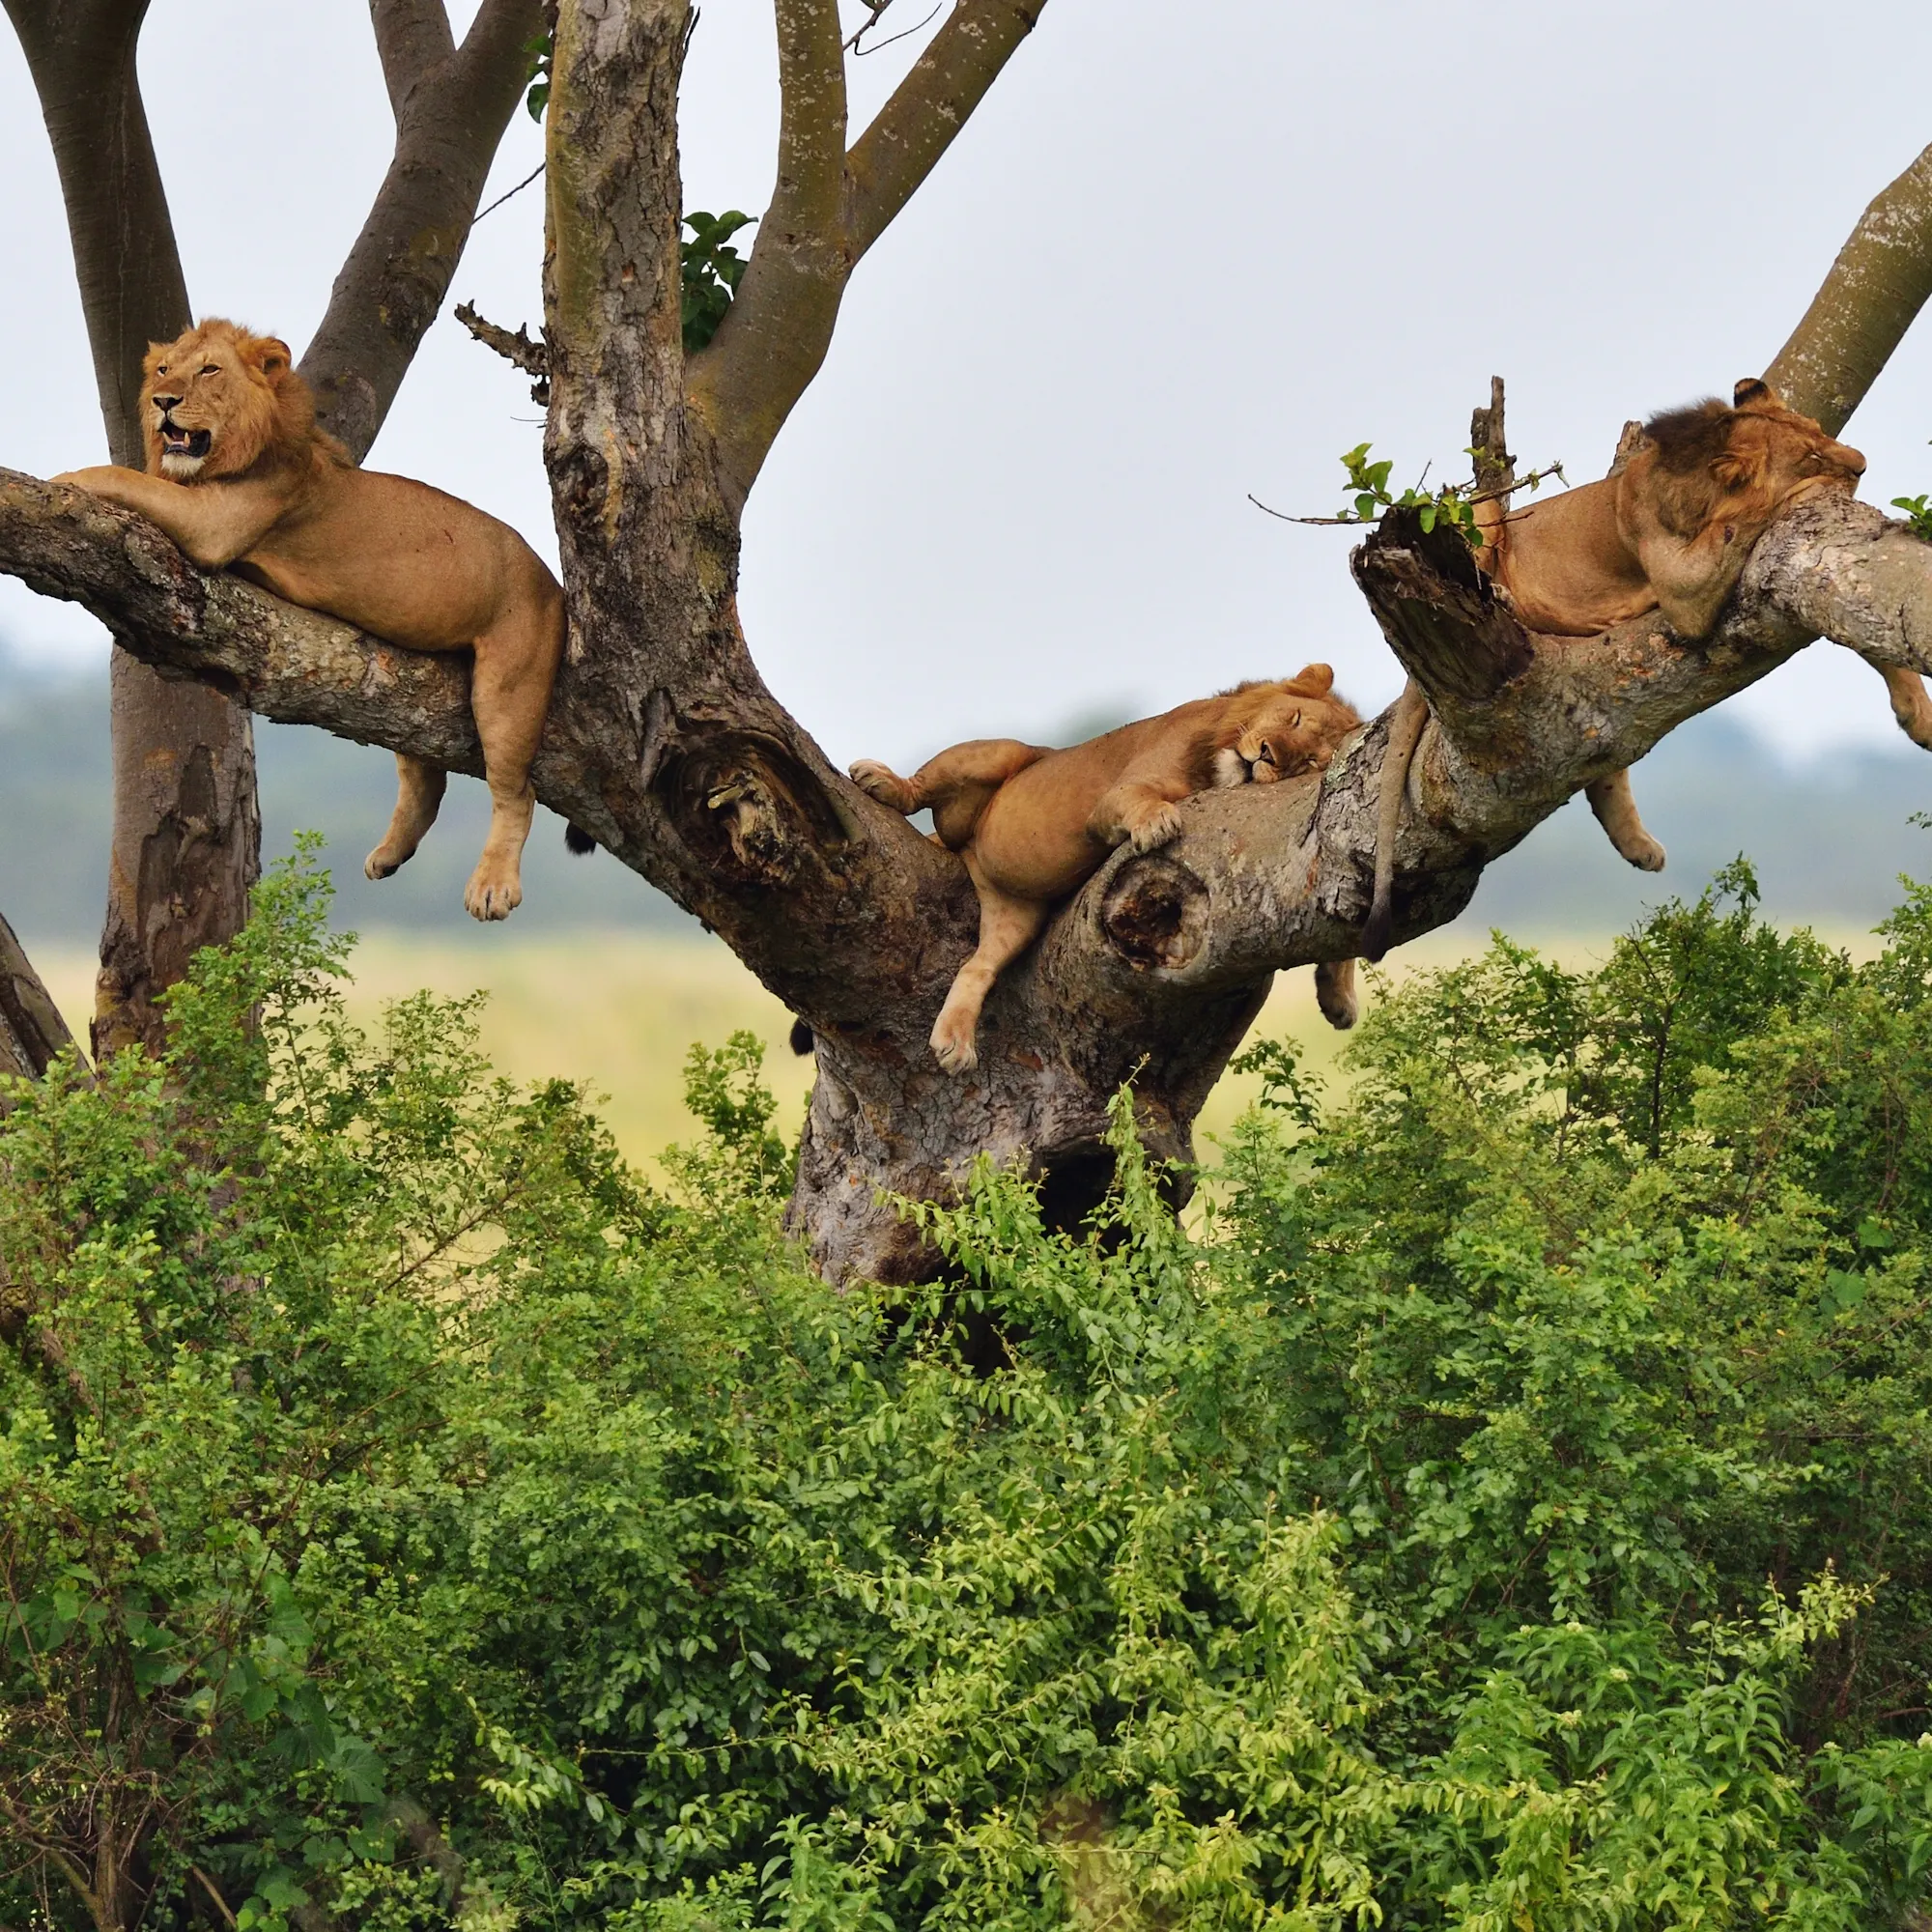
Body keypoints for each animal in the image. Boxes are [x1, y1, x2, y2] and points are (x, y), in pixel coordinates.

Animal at [52, 318, 565, 921]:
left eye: (209, 370)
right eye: (162, 370)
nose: (164, 401)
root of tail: (553, 582)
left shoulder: (214, 523)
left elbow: (127, 477)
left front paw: (63, 476)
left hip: (509, 685)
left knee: (515, 791)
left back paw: (491, 886)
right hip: (416, 682)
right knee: (425, 777)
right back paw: (389, 854)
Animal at [852, 665, 1363, 1072]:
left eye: (1311, 760)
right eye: (1294, 718)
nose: (1267, 754)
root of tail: (969, 850)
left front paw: (1339, 996)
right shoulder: (1114, 797)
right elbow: (1139, 798)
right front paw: (1157, 821)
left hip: (1016, 912)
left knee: (978, 965)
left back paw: (955, 1043)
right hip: (1000, 755)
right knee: (923, 786)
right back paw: (882, 781)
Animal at [1359, 379, 1876, 963]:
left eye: (1819, 431)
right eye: (1810, 454)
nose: (1861, 463)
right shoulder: (1682, 591)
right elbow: (1745, 517)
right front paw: (1808, 490)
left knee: (1604, 764)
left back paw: (1641, 849)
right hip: (1479, 525)